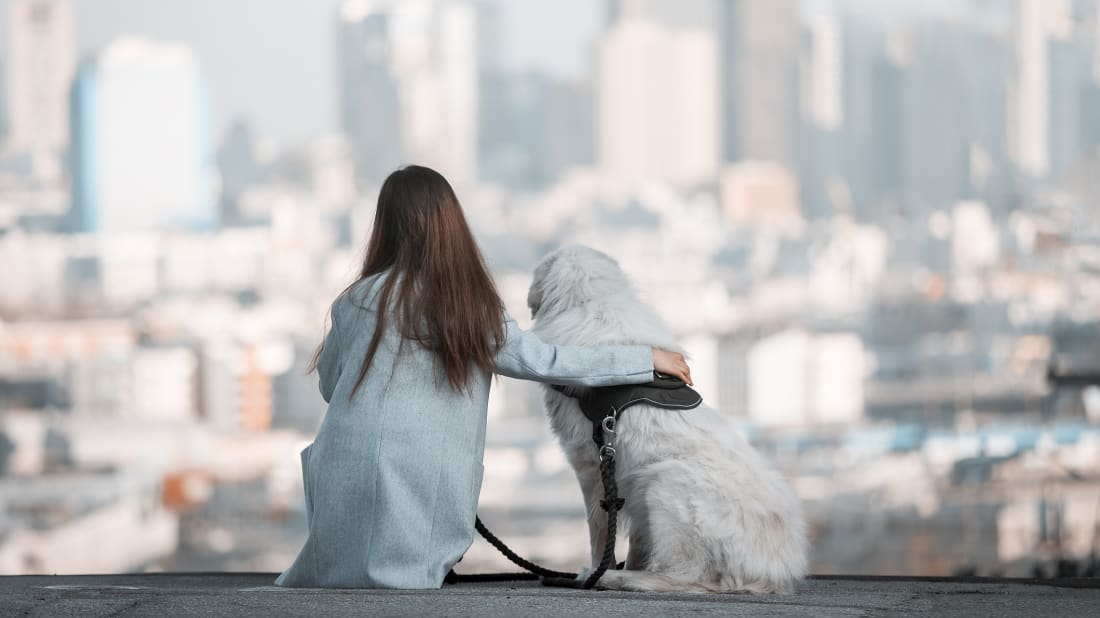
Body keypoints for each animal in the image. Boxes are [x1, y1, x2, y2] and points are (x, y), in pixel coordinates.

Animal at [523, 243, 809, 589]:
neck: (592, 300)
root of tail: (776, 570)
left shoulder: (591, 467)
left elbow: (600, 532)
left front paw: (596, 571)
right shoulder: (623, 478)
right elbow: (636, 539)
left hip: (665, 481)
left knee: (681, 575)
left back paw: (619, 579)